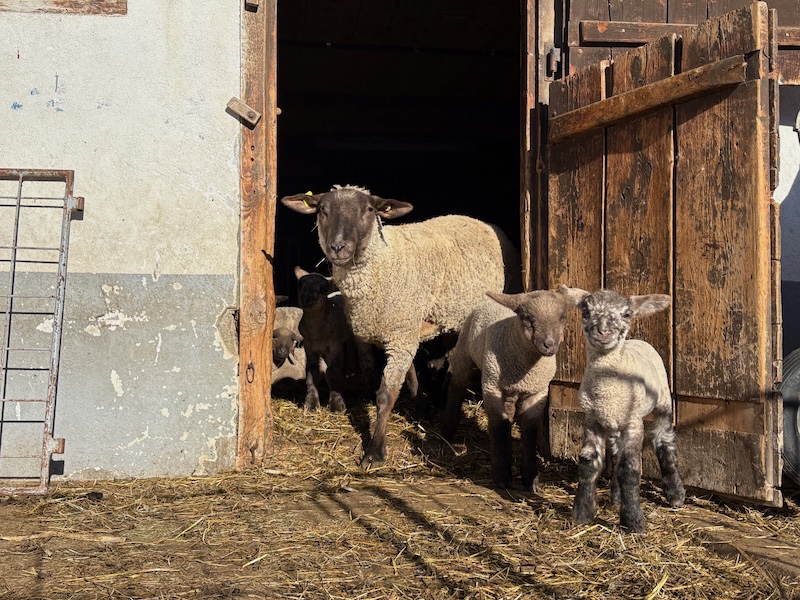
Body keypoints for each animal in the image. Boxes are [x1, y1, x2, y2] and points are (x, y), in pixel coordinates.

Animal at [280, 185, 520, 466]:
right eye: (321, 209)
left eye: (369, 210)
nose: (338, 247)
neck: (381, 263)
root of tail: (479, 221)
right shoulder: (382, 332)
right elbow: (387, 372)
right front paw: (419, 405)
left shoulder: (402, 333)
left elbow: (386, 395)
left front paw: (375, 452)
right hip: (453, 317)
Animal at [440, 288, 584, 492]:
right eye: (528, 318)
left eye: (563, 317)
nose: (549, 345)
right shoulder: (492, 388)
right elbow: (498, 426)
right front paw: (502, 477)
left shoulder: (537, 393)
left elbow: (528, 431)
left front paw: (531, 479)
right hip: (464, 350)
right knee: (457, 385)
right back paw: (447, 429)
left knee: (508, 415)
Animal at [568, 288, 688, 532]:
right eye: (586, 311)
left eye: (626, 314)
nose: (603, 331)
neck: (607, 387)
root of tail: (638, 340)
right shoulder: (592, 418)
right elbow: (588, 463)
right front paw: (582, 513)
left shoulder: (633, 422)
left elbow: (630, 469)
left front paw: (633, 522)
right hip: (614, 421)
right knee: (615, 452)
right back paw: (616, 497)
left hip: (663, 400)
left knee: (664, 439)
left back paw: (675, 494)